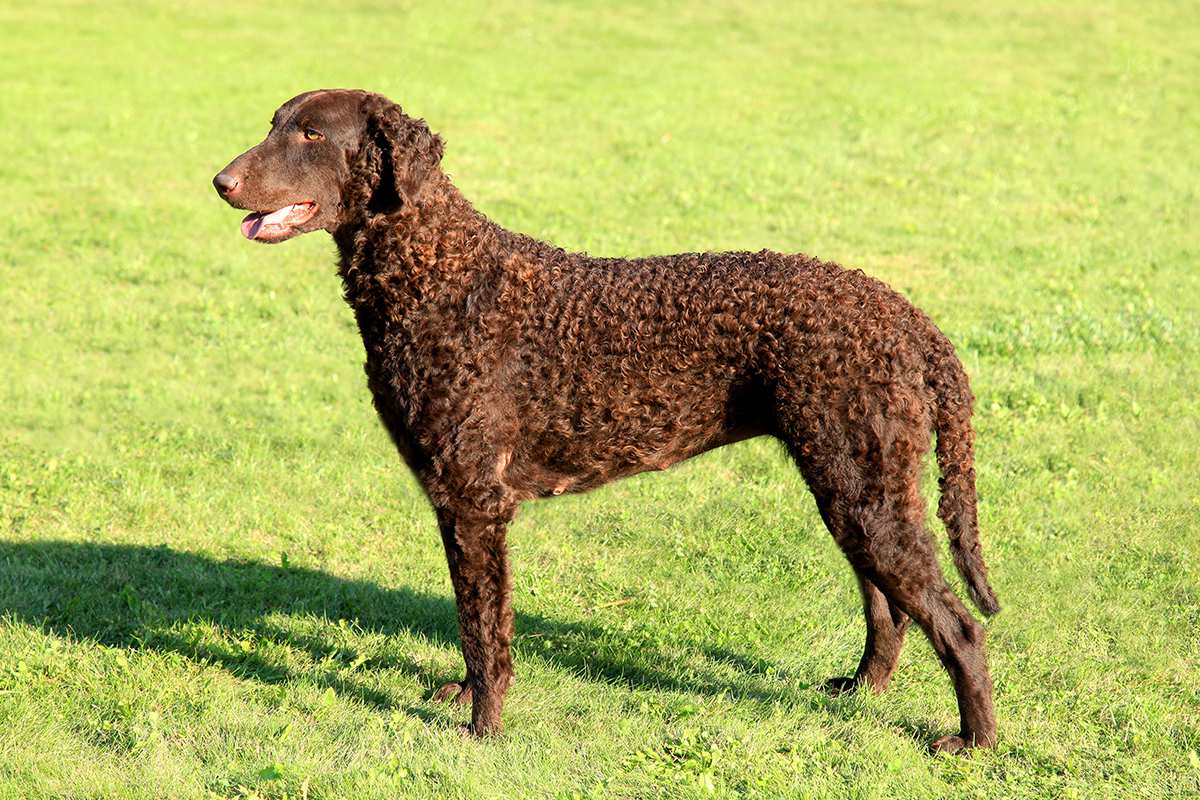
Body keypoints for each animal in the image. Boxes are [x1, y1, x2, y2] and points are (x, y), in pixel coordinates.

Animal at [213, 90, 993, 753]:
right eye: (275, 123)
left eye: (312, 135)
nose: (220, 181)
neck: (442, 278)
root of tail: (906, 316)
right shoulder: (455, 502)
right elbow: (471, 617)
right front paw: (464, 696)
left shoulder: (475, 501)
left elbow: (484, 625)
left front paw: (483, 729)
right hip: (851, 485)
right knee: (889, 609)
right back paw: (860, 691)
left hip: (864, 490)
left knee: (958, 625)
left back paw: (974, 742)